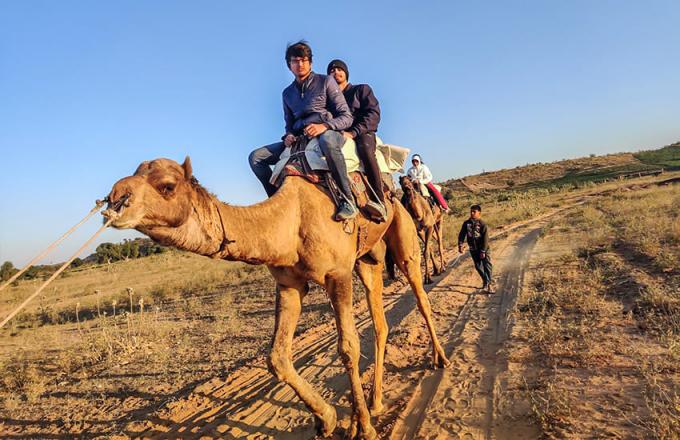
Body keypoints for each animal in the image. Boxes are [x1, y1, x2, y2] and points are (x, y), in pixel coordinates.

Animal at [103, 156, 448, 438]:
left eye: (167, 186)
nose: (115, 197)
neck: (290, 221)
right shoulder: (288, 285)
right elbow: (277, 357)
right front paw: (328, 419)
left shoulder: (337, 274)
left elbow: (348, 348)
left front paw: (362, 429)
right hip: (368, 259)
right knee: (379, 323)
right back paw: (376, 401)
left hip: (402, 235)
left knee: (419, 294)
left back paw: (439, 358)